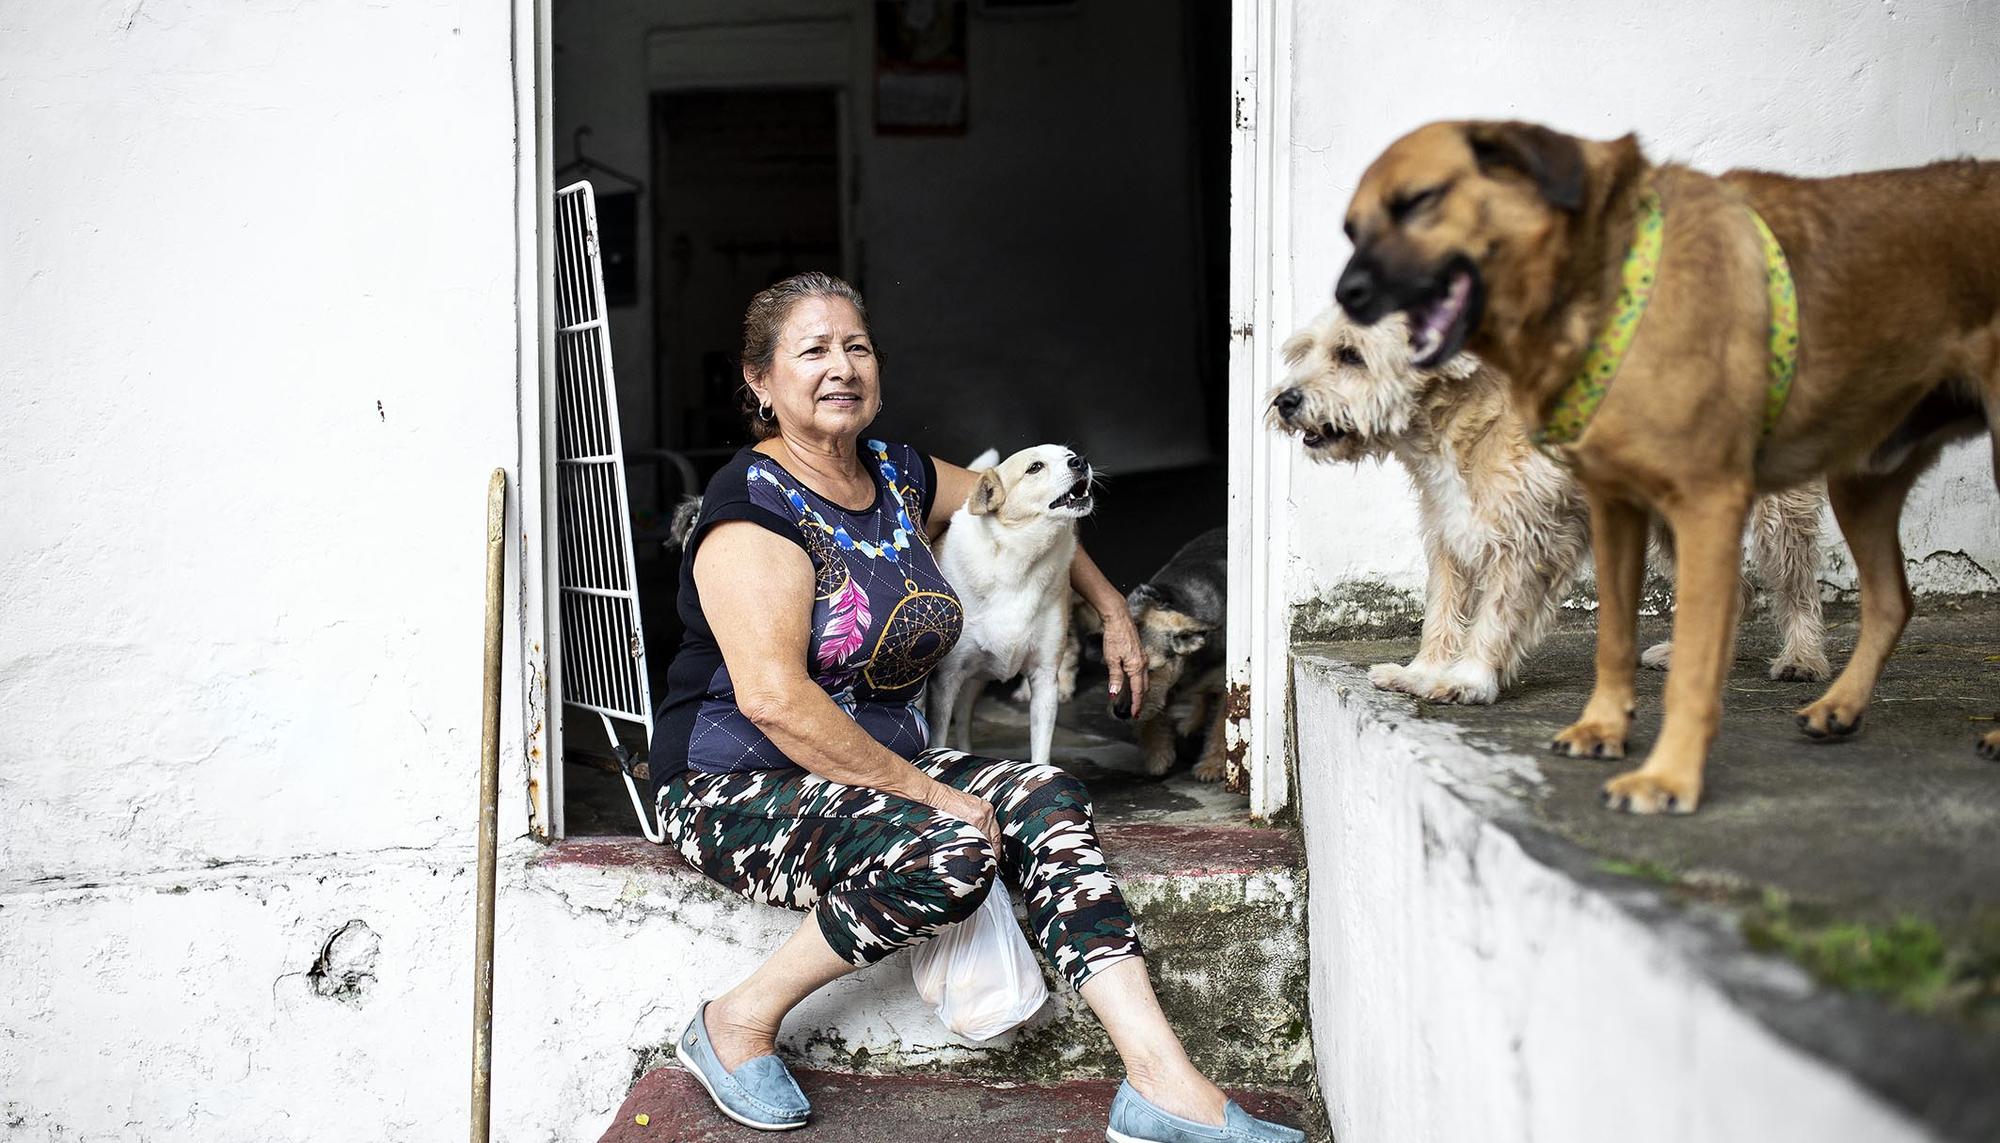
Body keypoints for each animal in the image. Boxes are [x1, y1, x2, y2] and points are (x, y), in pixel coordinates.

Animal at [932, 445, 1104, 767]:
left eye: (1068, 454)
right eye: (1035, 467)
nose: (1081, 461)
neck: (1019, 565)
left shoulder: (1045, 679)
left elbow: (1041, 755)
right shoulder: (945, 681)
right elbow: (936, 741)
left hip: (975, 682)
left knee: (964, 721)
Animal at [1120, 527, 1224, 783]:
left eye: (1149, 670)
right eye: (1116, 665)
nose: (1120, 712)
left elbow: (1222, 725)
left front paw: (1213, 764)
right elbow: (1153, 708)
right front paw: (1158, 753)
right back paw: (1192, 721)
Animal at [1328, 122, 2000, 811]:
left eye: (1347, 354)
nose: (1293, 400)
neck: (1461, 428)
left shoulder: (1532, 539)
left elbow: (1498, 613)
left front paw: (1469, 678)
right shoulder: (1454, 538)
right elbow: (1444, 612)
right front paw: (1421, 672)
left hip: (1776, 514)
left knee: (1793, 586)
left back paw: (1803, 658)